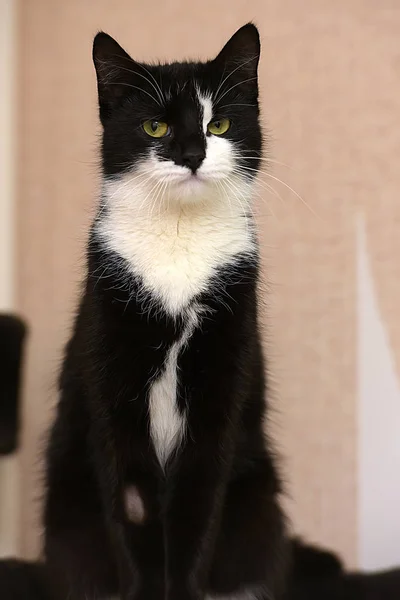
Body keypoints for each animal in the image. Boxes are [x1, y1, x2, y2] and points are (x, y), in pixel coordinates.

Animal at [43, 22, 288, 600]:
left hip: (258, 506)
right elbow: (127, 503)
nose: (193, 152)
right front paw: (142, 588)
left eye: (218, 123)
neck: (179, 239)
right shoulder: (108, 365)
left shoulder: (224, 378)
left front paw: (186, 588)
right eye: (155, 126)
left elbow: (200, 503)